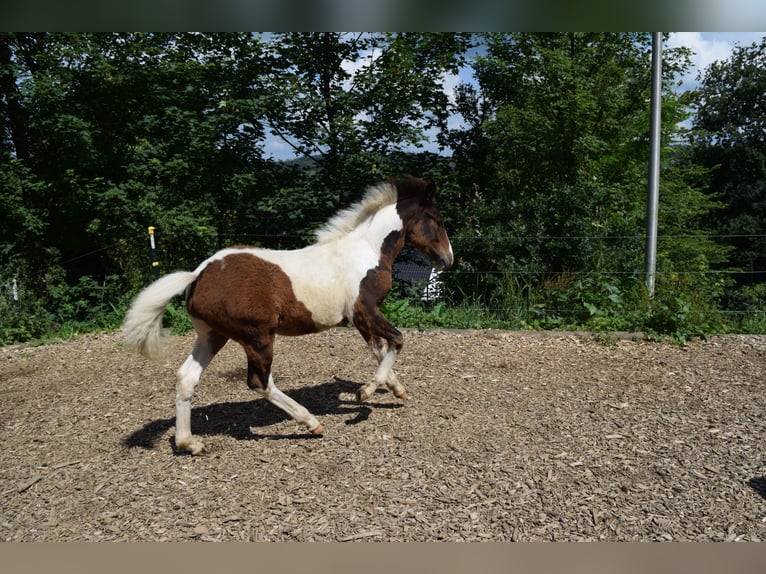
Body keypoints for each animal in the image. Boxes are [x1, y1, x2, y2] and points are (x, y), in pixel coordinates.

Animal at [123, 178, 452, 456]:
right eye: (438, 220)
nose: (448, 259)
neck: (366, 252)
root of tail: (198, 275)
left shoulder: (361, 320)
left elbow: (379, 350)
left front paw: (396, 389)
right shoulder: (365, 311)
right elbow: (397, 341)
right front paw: (365, 392)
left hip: (212, 335)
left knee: (186, 378)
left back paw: (189, 443)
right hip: (257, 337)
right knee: (260, 382)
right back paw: (311, 423)